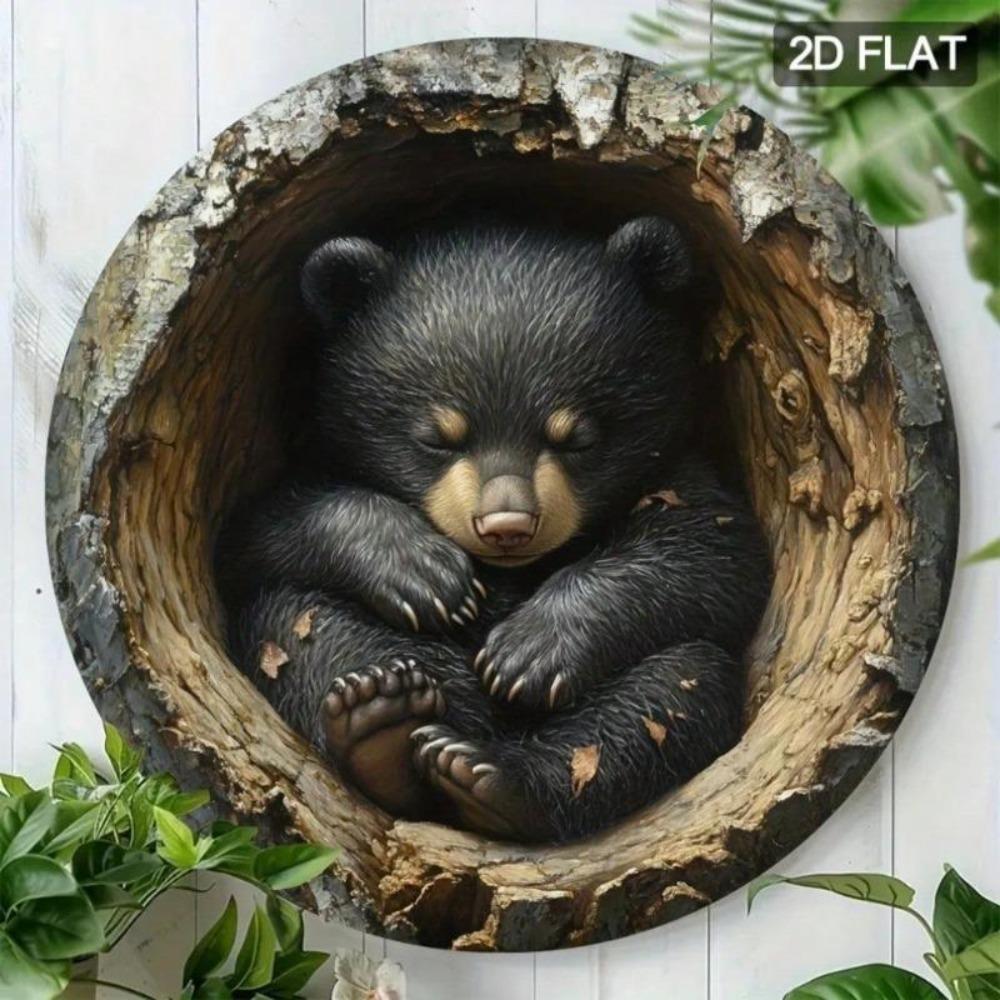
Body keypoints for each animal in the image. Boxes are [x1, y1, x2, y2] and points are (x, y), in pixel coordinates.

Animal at [215, 217, 771, 843]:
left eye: (575, 437)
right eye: (437, 436)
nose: (507, 525)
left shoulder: (679, 472)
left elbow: (717, 551)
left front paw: (525, 652)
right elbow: (257, 535)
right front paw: (428, 577)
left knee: (671, 692)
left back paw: (485, 776)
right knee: (296, 624)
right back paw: (380, 718)